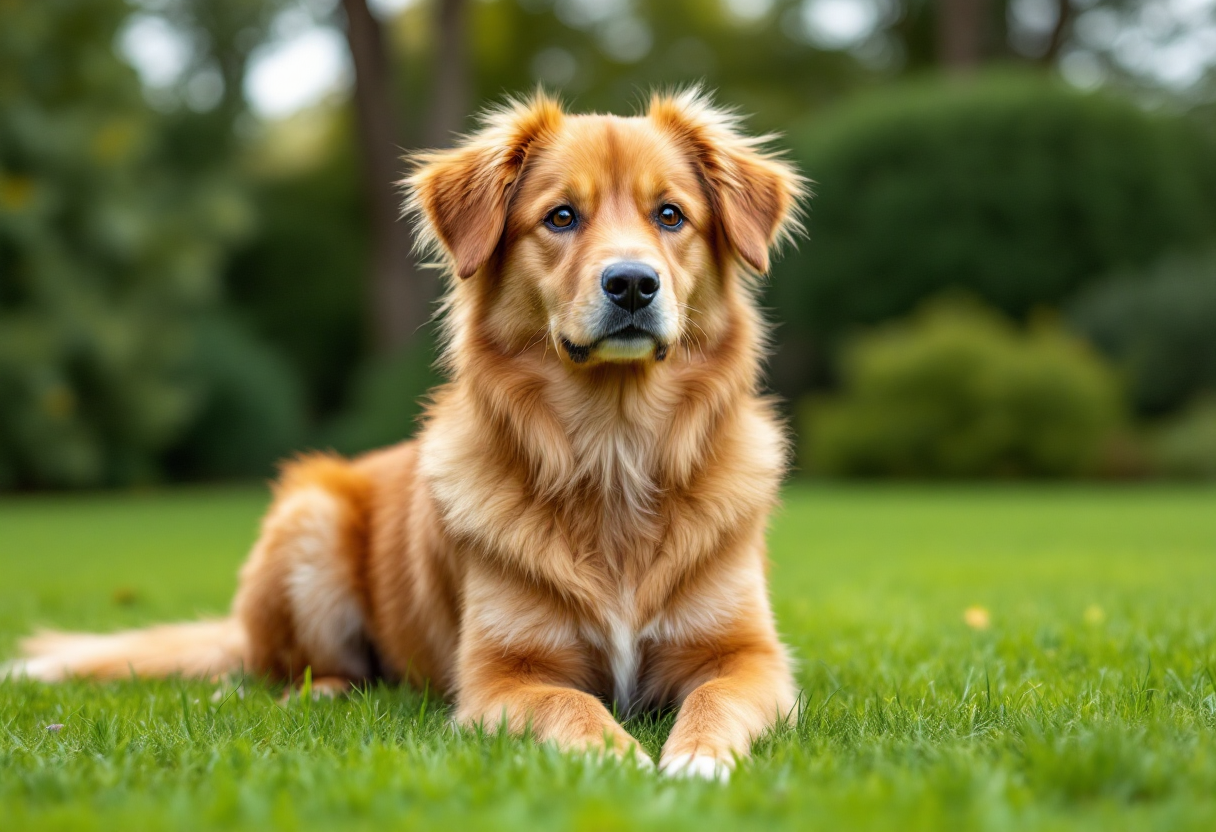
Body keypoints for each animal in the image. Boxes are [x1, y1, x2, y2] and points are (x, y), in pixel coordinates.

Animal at [11, 91, 807, 778]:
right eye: (560, 217)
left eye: (671, 215)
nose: (634, 284)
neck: (613, 449)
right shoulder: (499, 678)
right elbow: (572, 705)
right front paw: (620, 760)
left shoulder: (752, 658)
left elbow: (716, 697)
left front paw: (697, 760)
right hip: (310, 518)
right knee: (283, 669)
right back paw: (316, 693)